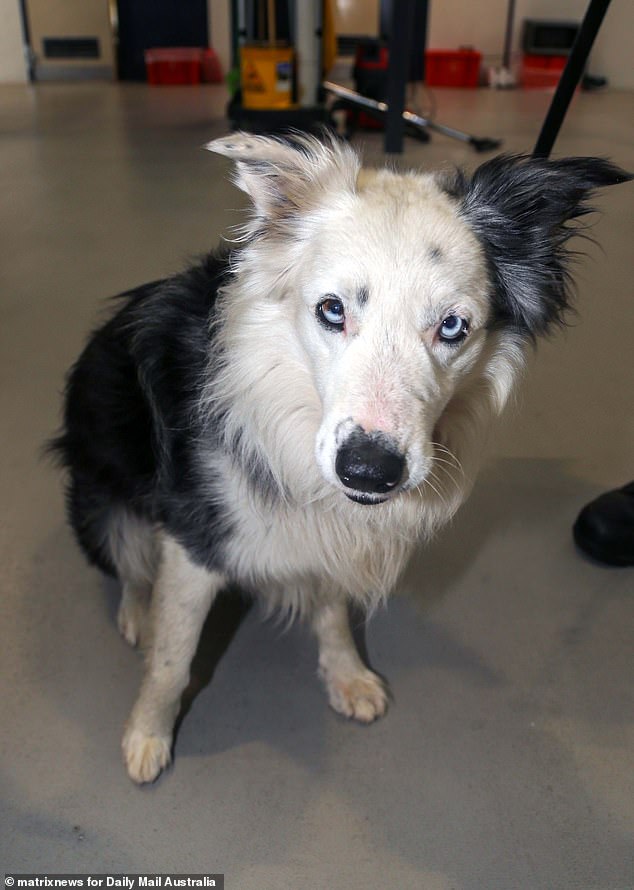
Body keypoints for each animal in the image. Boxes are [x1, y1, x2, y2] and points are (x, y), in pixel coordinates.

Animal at [49, 128, 628, 780]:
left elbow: (331, 613)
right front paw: (147, 735)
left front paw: (347, 676)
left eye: (453, 326)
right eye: (332, 309)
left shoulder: (331, 530)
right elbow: (173, 659)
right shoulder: (195, 539)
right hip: (100, 501)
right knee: (127, 562)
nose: (371, 472)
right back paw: (136, 613)